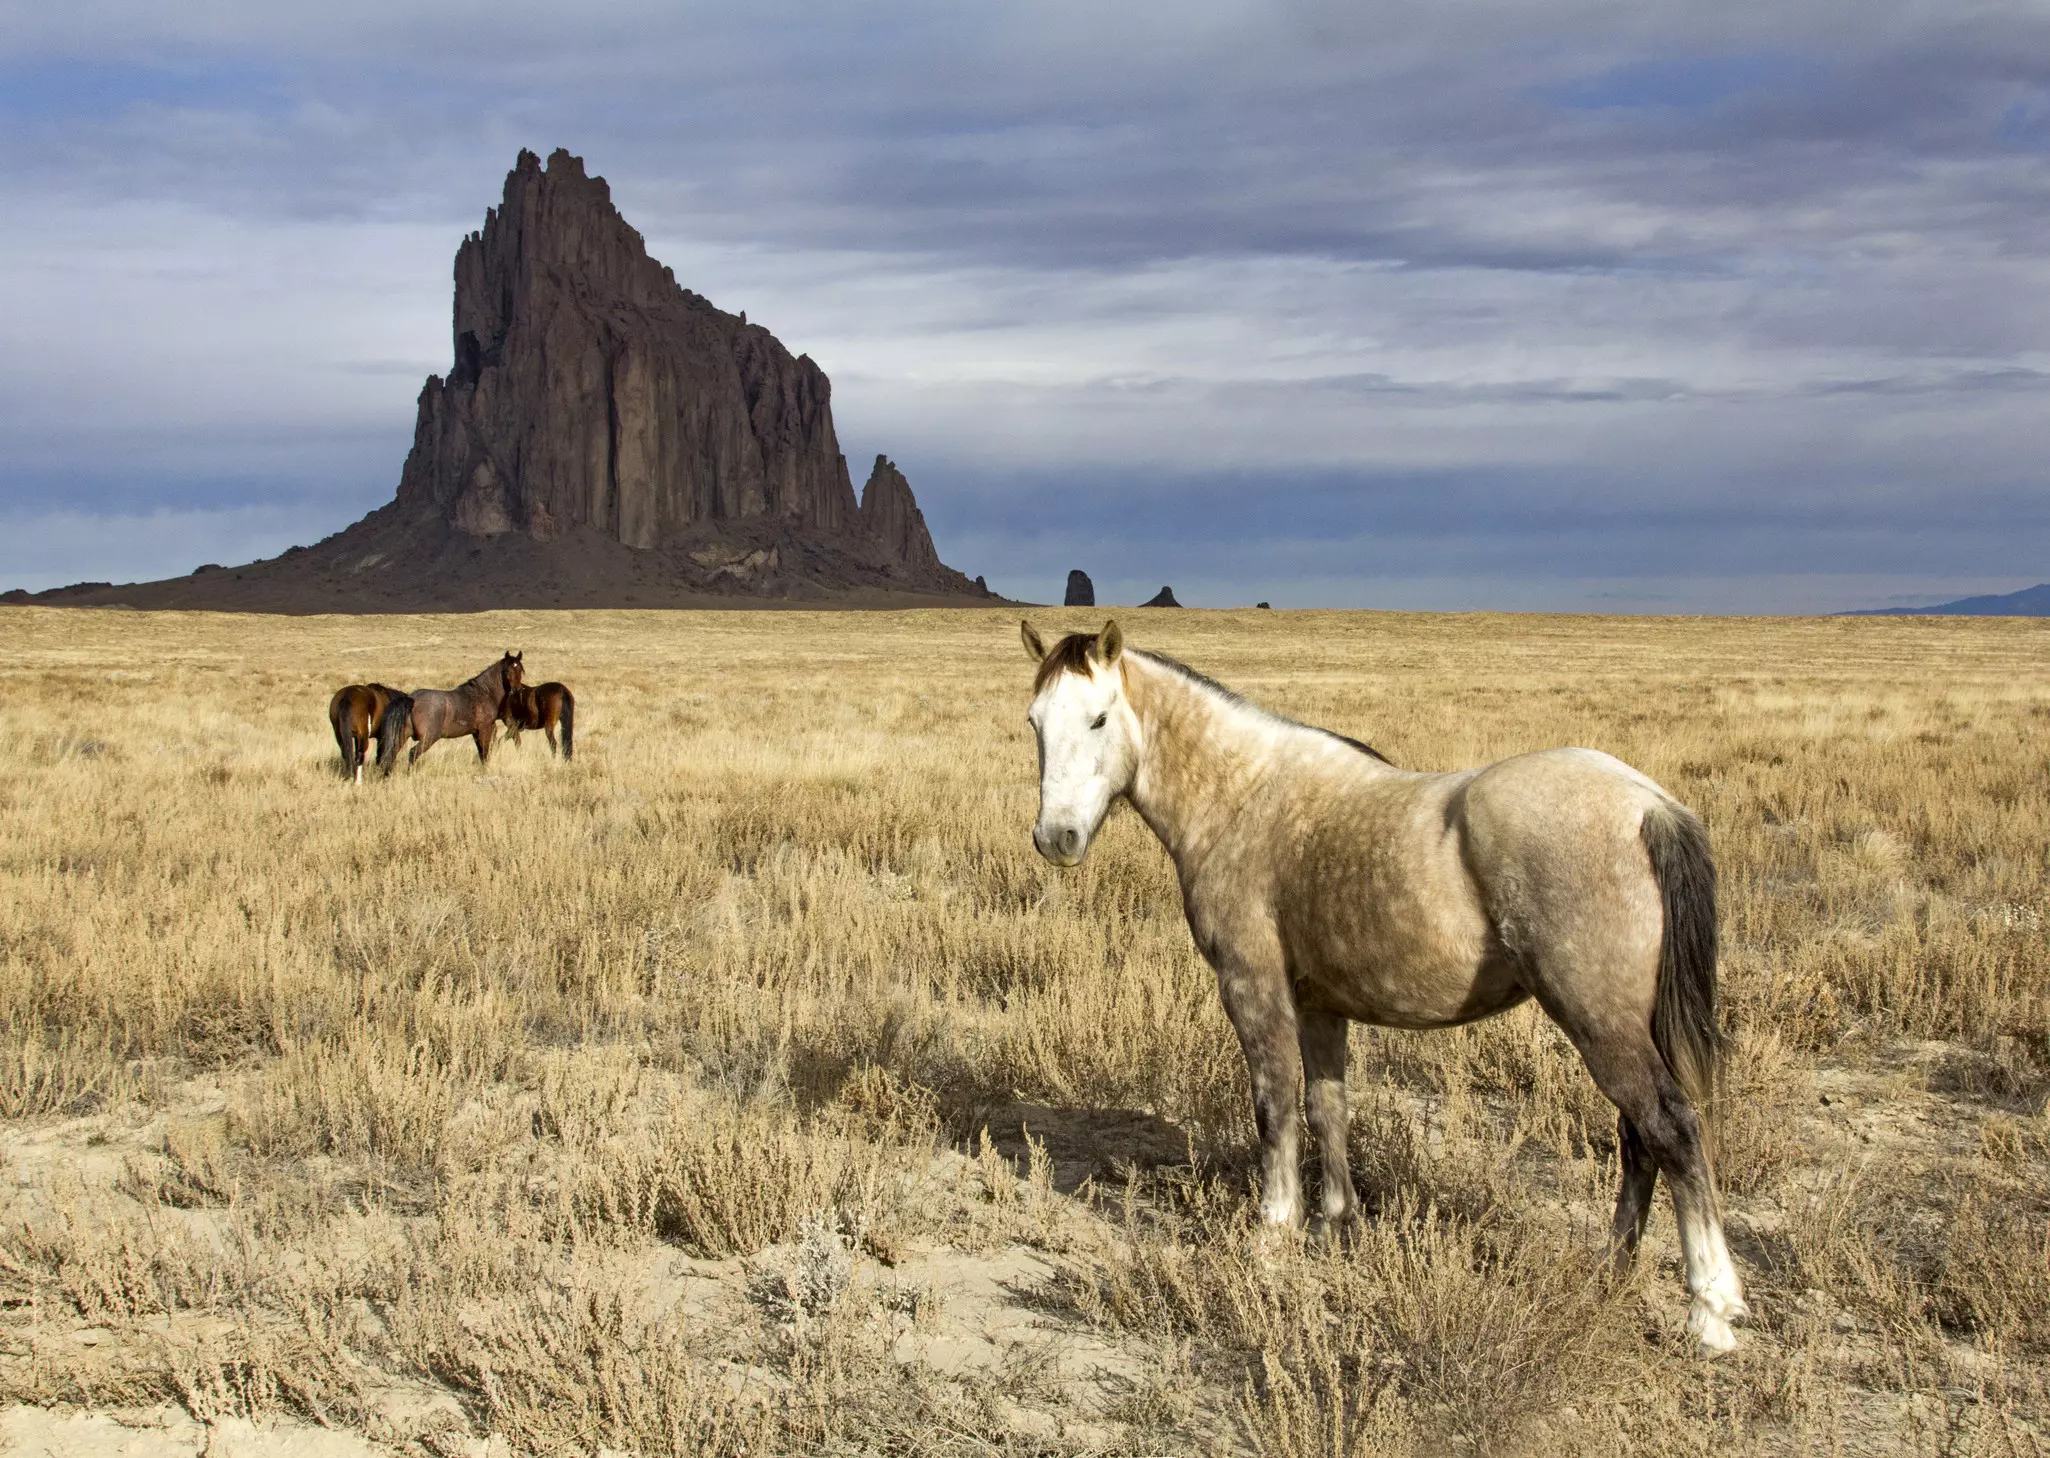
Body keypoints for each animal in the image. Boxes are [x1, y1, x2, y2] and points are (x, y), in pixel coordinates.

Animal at [376, 652, 524, 774]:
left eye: (521, 670)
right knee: (412, 753)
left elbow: (481, 753)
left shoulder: (475, 732)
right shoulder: (484, 729)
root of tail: (412, 698)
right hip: (429, 738)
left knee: (391, 754)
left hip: (402, 735)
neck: (484, 693)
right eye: (507, 670)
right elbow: (485, 752)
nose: (516, 691)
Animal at [1019, 621, 1749, 1352]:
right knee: (1638, 1138)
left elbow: (1274, 1107)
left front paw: (1273, 1234)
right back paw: (1612, 1272)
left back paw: (1710, 1309)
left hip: (1599, 1023)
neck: (1245, 797)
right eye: (1035, 722)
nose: (1057, 837)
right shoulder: (1319, 1006)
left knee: (1670, 1127)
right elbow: (1327, 1107)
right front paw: (1332, 1222)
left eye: (1099, 718)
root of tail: (1649, 804)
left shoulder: (1254, 989)